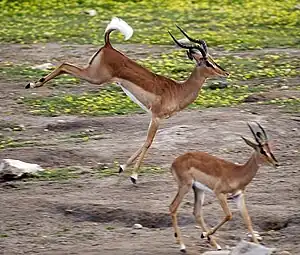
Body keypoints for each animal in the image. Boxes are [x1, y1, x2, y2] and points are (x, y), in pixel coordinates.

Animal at [25, 17, 229, 183]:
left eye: (212, 60)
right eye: (207, 62)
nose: (225, 72)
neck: (178, 90)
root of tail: (108, 46)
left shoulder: (158, 119)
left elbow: (145, 142)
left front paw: (122, 167)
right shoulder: (156, 117)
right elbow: (148, 142)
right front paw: (134, 176)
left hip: (92, 74)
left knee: (65, 65)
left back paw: (34, 83)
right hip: (95, 77)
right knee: (65, 64)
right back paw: (32, 84)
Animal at [169, 122, 278, 252]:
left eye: (269, 148)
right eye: (262, 150)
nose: (276, 163)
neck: (237, 173)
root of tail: (174, 162)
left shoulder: (238, 195)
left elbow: (247, 220)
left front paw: (258, 245)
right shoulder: (220, 193)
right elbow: (229, 215)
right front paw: (204, 235)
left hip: (198, 189)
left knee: (197, 213)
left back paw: (216, 245)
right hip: (185, 186)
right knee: (173, 207)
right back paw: (183, 246)